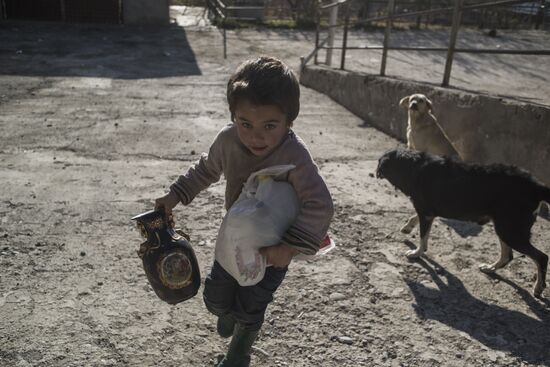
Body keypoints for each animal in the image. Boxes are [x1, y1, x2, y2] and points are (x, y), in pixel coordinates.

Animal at [378, 148, 548, 298]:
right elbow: (415, 218)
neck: (413, 166)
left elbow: (423, 237)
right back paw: (491, 268)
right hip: (504, 227)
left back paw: (538, 287)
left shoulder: (426, 213)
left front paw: (417, 253)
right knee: (508, 255)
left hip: (510, 230)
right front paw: (408, 227)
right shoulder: (427, 212)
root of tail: (536, 186)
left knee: (542, 257)